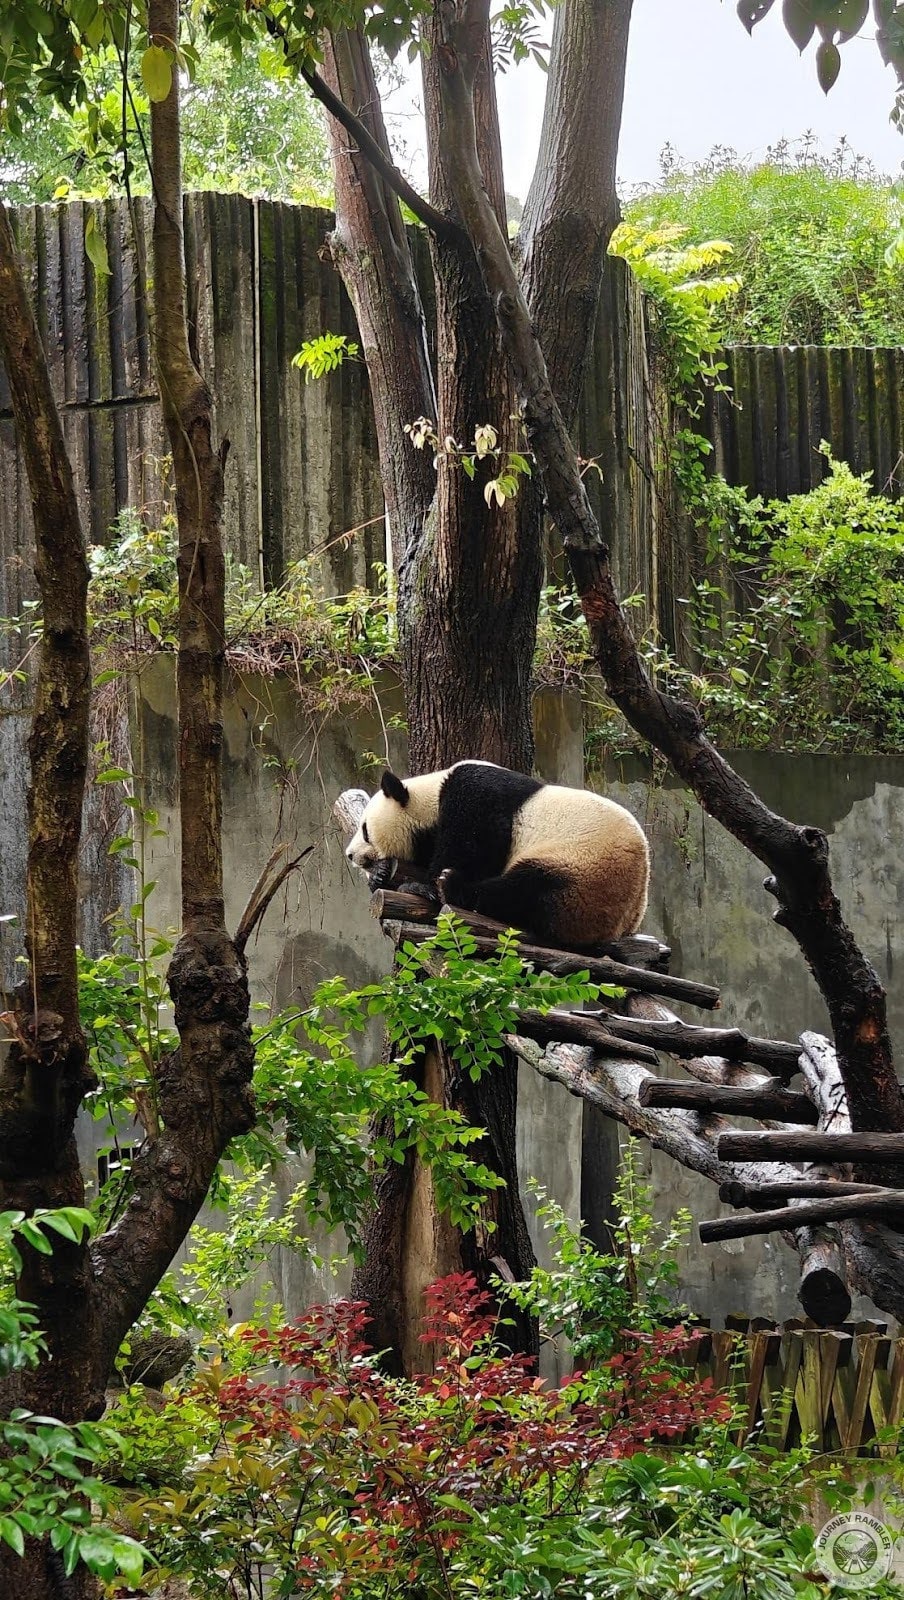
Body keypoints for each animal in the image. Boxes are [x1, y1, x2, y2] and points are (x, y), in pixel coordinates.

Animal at [345, 760, 649, 949]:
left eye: (365, 830)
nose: (350, 855)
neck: (431, 795)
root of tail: (628, 922)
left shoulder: (476, 796)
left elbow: (474, 847)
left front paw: (422, 885)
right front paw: (381, 874)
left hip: (584, 870)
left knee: (525, 891)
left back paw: (452, 886)